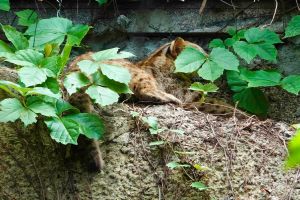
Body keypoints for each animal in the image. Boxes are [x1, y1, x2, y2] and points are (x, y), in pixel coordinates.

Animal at [67, 37, 240, 170]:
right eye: (202, 57)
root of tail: (74, 67)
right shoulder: (190, 97)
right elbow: (219, 105)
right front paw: (242, 114)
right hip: (133, 75)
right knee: (144, 91)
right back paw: (168, 98)